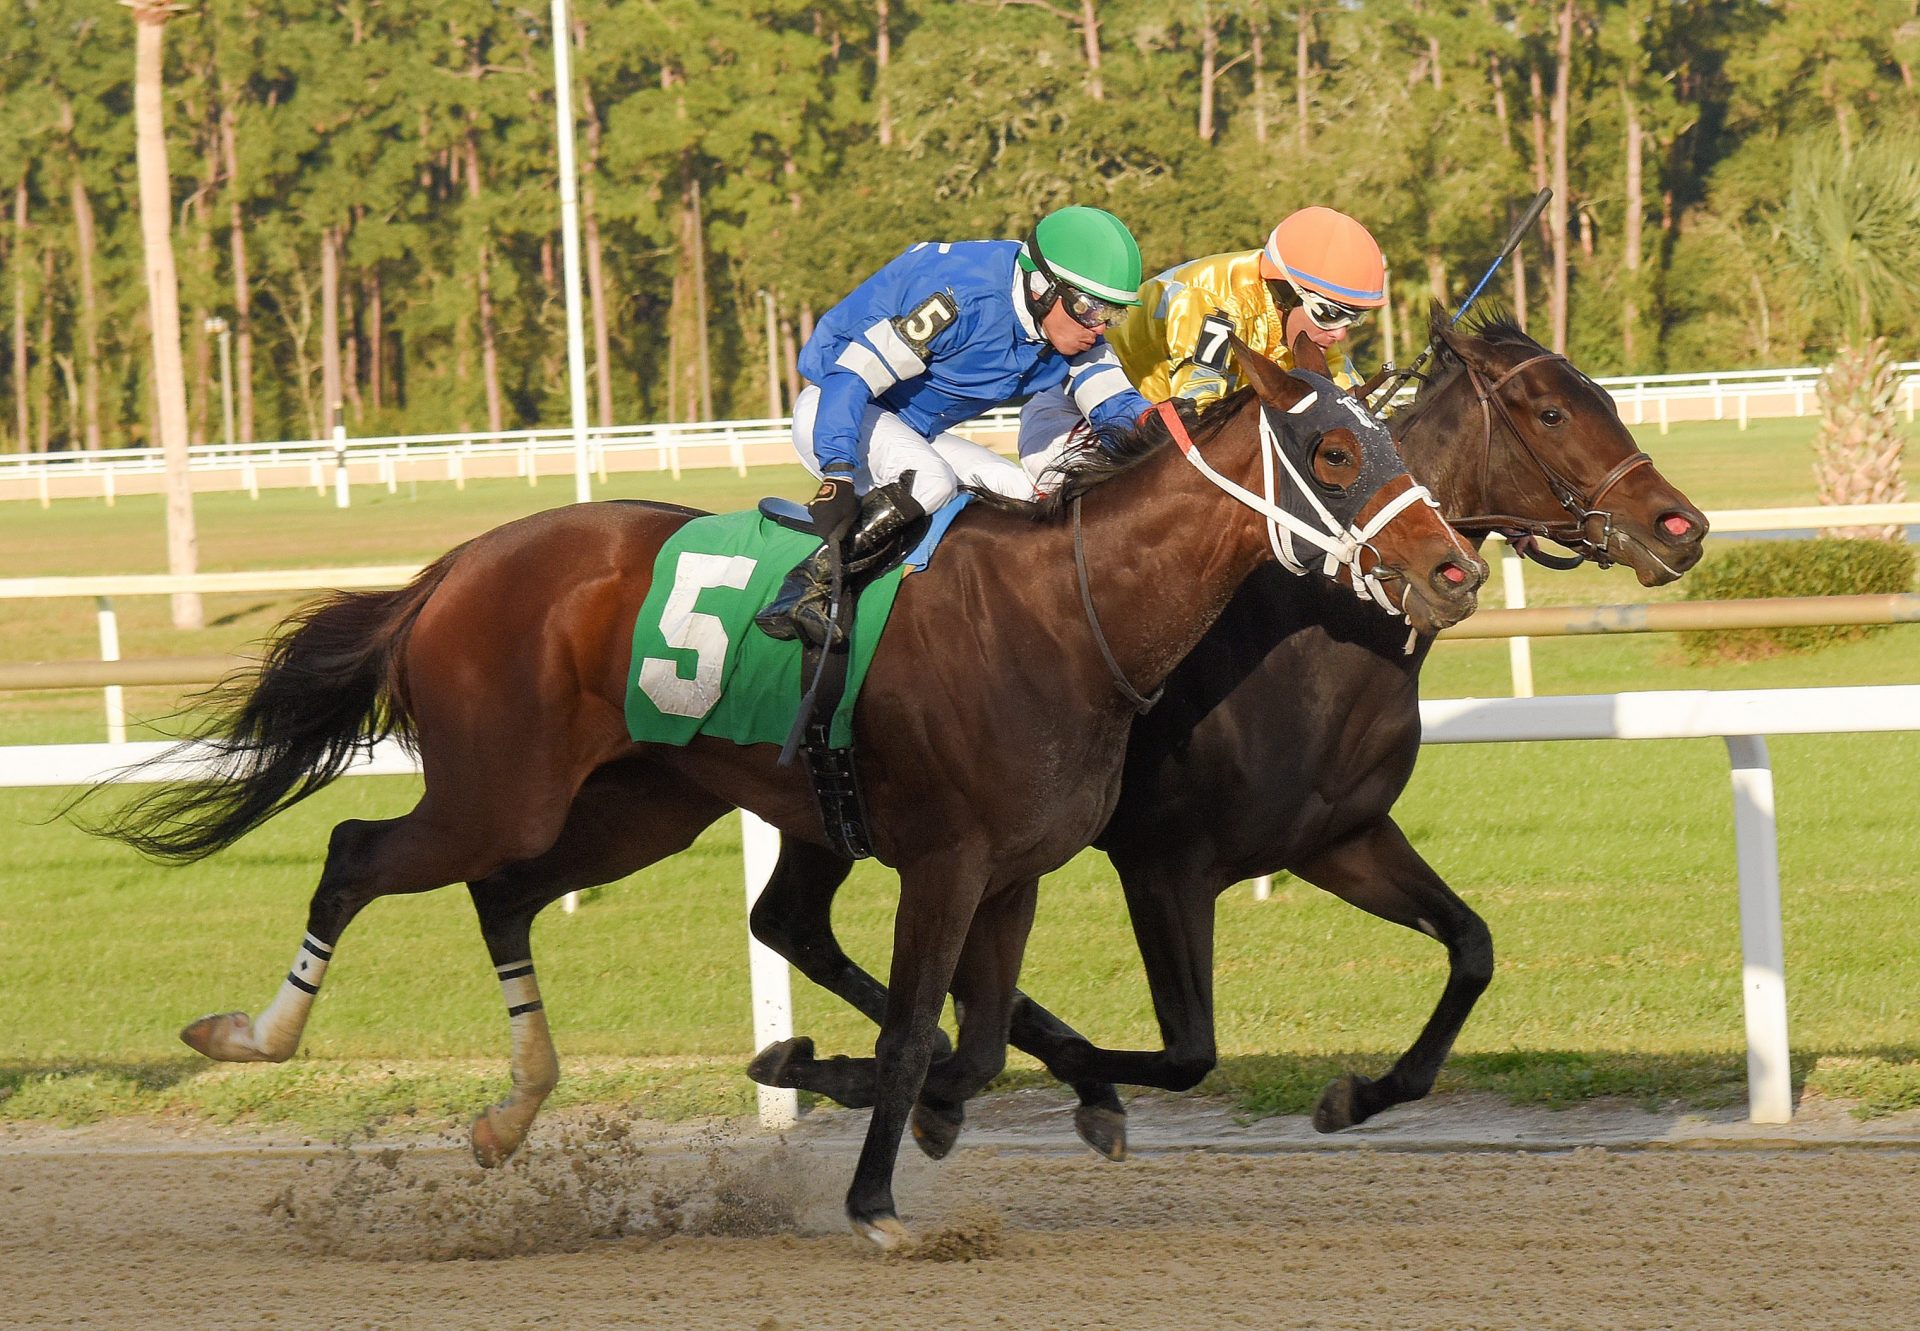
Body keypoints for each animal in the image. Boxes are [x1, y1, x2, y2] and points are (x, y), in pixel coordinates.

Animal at [90, 338, 1482, 1244]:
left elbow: (975, 1038)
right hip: (502, 786)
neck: (1068, 614)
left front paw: (856, 1084)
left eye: (1397, 436)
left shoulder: (1019, 868)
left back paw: (510, 1113)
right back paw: (253, 1035)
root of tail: (456, 565)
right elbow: (922, 1030)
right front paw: (875, 1200)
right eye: (1336, 448)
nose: (1457, 569)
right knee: (357, 851)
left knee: (511, 894)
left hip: (634, 806)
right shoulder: (954, 859)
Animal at [737, 305, 1712, 1160]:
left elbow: (1472, 948)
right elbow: (1186, 1052)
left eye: (1607, 397)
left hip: (831, 810)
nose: (1685, 526)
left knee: (790, 922)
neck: (1312, 637)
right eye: (1551, 411)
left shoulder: (1338, 837)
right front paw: (953, 1089)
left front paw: (1356, 1094)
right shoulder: (1163, 862)